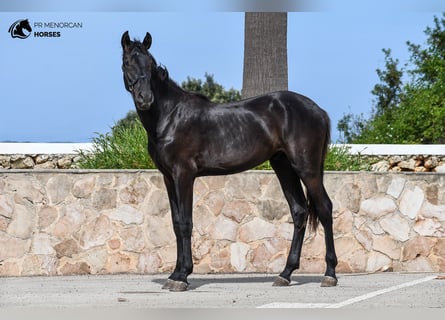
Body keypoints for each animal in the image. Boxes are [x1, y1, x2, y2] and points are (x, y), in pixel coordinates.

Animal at [119, 31, 334, 292]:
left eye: (150, 64)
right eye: (127, 62)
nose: (145, 98)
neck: (170, 117)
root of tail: (318, 111)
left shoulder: (184, 175)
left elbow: (186, 223)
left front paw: (182, 276)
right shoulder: (169, 178)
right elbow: (176, 223)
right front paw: (175, 274)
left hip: (306, 168)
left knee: (324, 208)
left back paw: (330, 274)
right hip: (283, 166)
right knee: (300, 212)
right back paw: (285, 274)